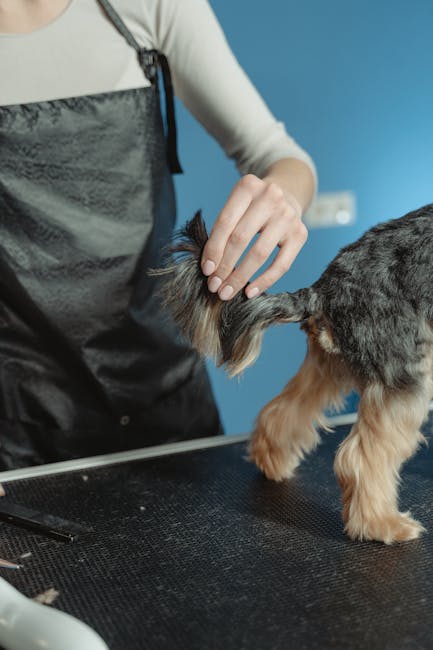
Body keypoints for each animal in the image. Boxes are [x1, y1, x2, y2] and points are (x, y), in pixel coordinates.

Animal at [152, 205, 433, 544]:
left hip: (329, 364)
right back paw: (380, 524)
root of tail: (322, 291)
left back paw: (271, 462)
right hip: (403, 367)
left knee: (283, 411)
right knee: (361, 457)